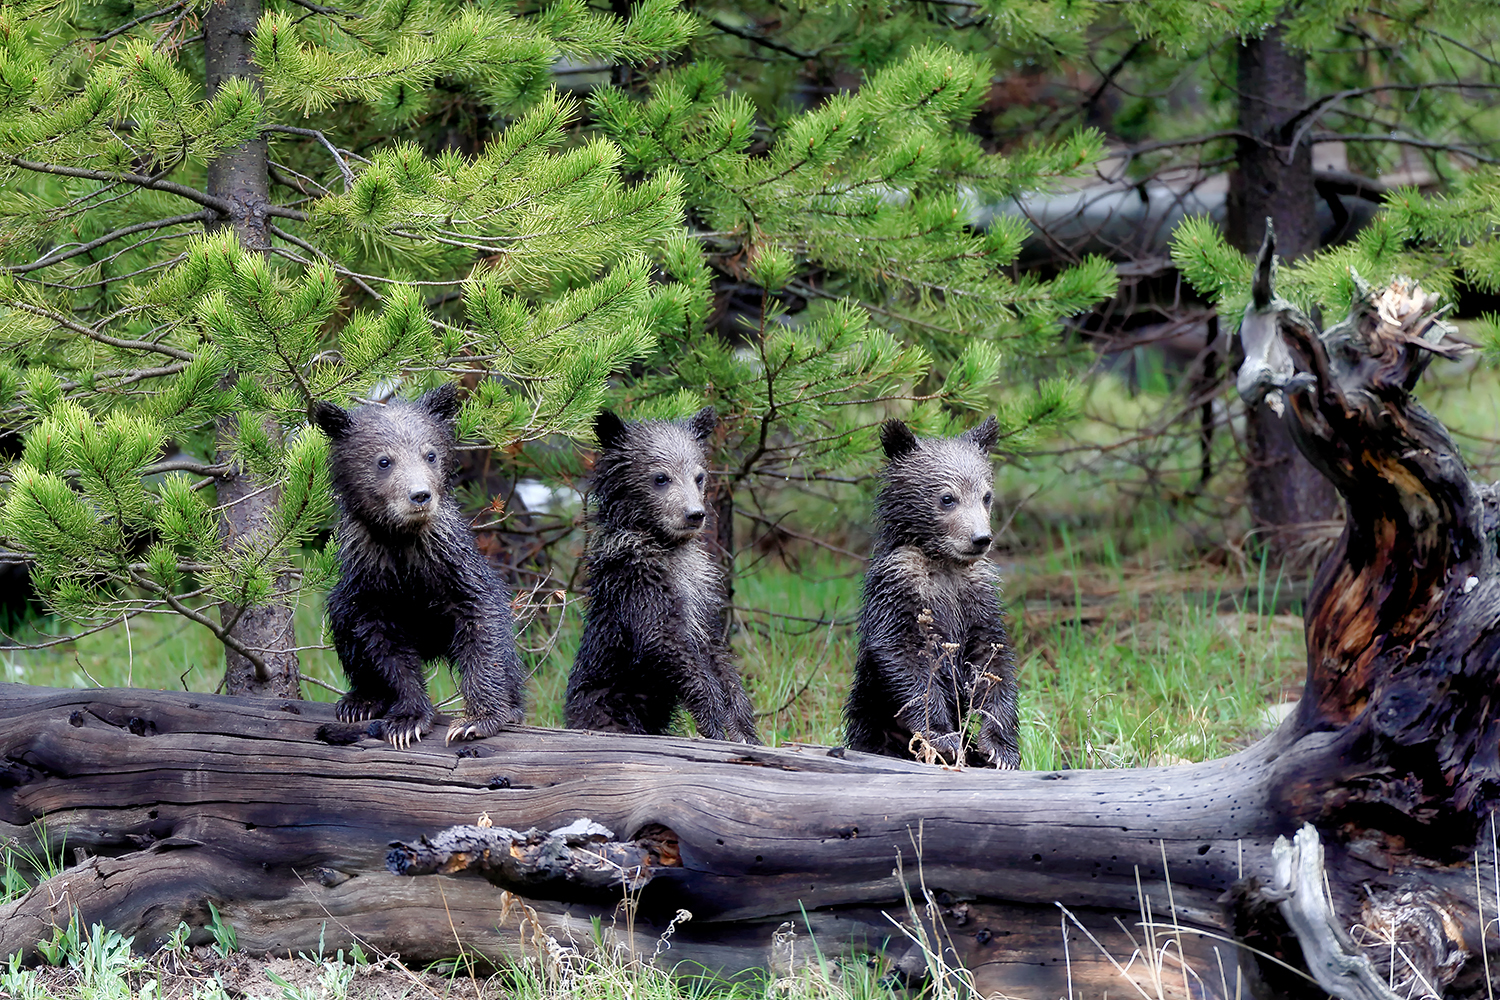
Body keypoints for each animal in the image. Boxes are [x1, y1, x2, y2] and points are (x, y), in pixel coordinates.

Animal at [309, 383, 526, 749]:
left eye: (430, 454)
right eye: (384, 460)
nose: (420, 495)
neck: (402, 545)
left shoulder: (454, 569)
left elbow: (485, 631)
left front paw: (477, 719)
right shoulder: (370, 585)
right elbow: (385, 649)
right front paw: (407, 720)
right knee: (342, 620)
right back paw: (360, 700)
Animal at [563, 406, 759, 743]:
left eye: (699, 476)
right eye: (661, 477)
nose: (695, 514)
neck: (665, 545)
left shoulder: (700, 594)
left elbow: (717, 654)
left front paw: (742, 726)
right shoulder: (636, 581)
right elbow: (663, 640)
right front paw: (712, 719)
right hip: (609, 707)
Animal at [843, 416, 1020, 768]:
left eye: (986, 496)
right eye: (947, 498)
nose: (980, 538)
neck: (945, 563)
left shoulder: (977, 596)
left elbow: (992, 660)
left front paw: (1000, 748)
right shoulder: (898, 588)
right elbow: (906, 657)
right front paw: (943, 736)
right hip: (871, 719)